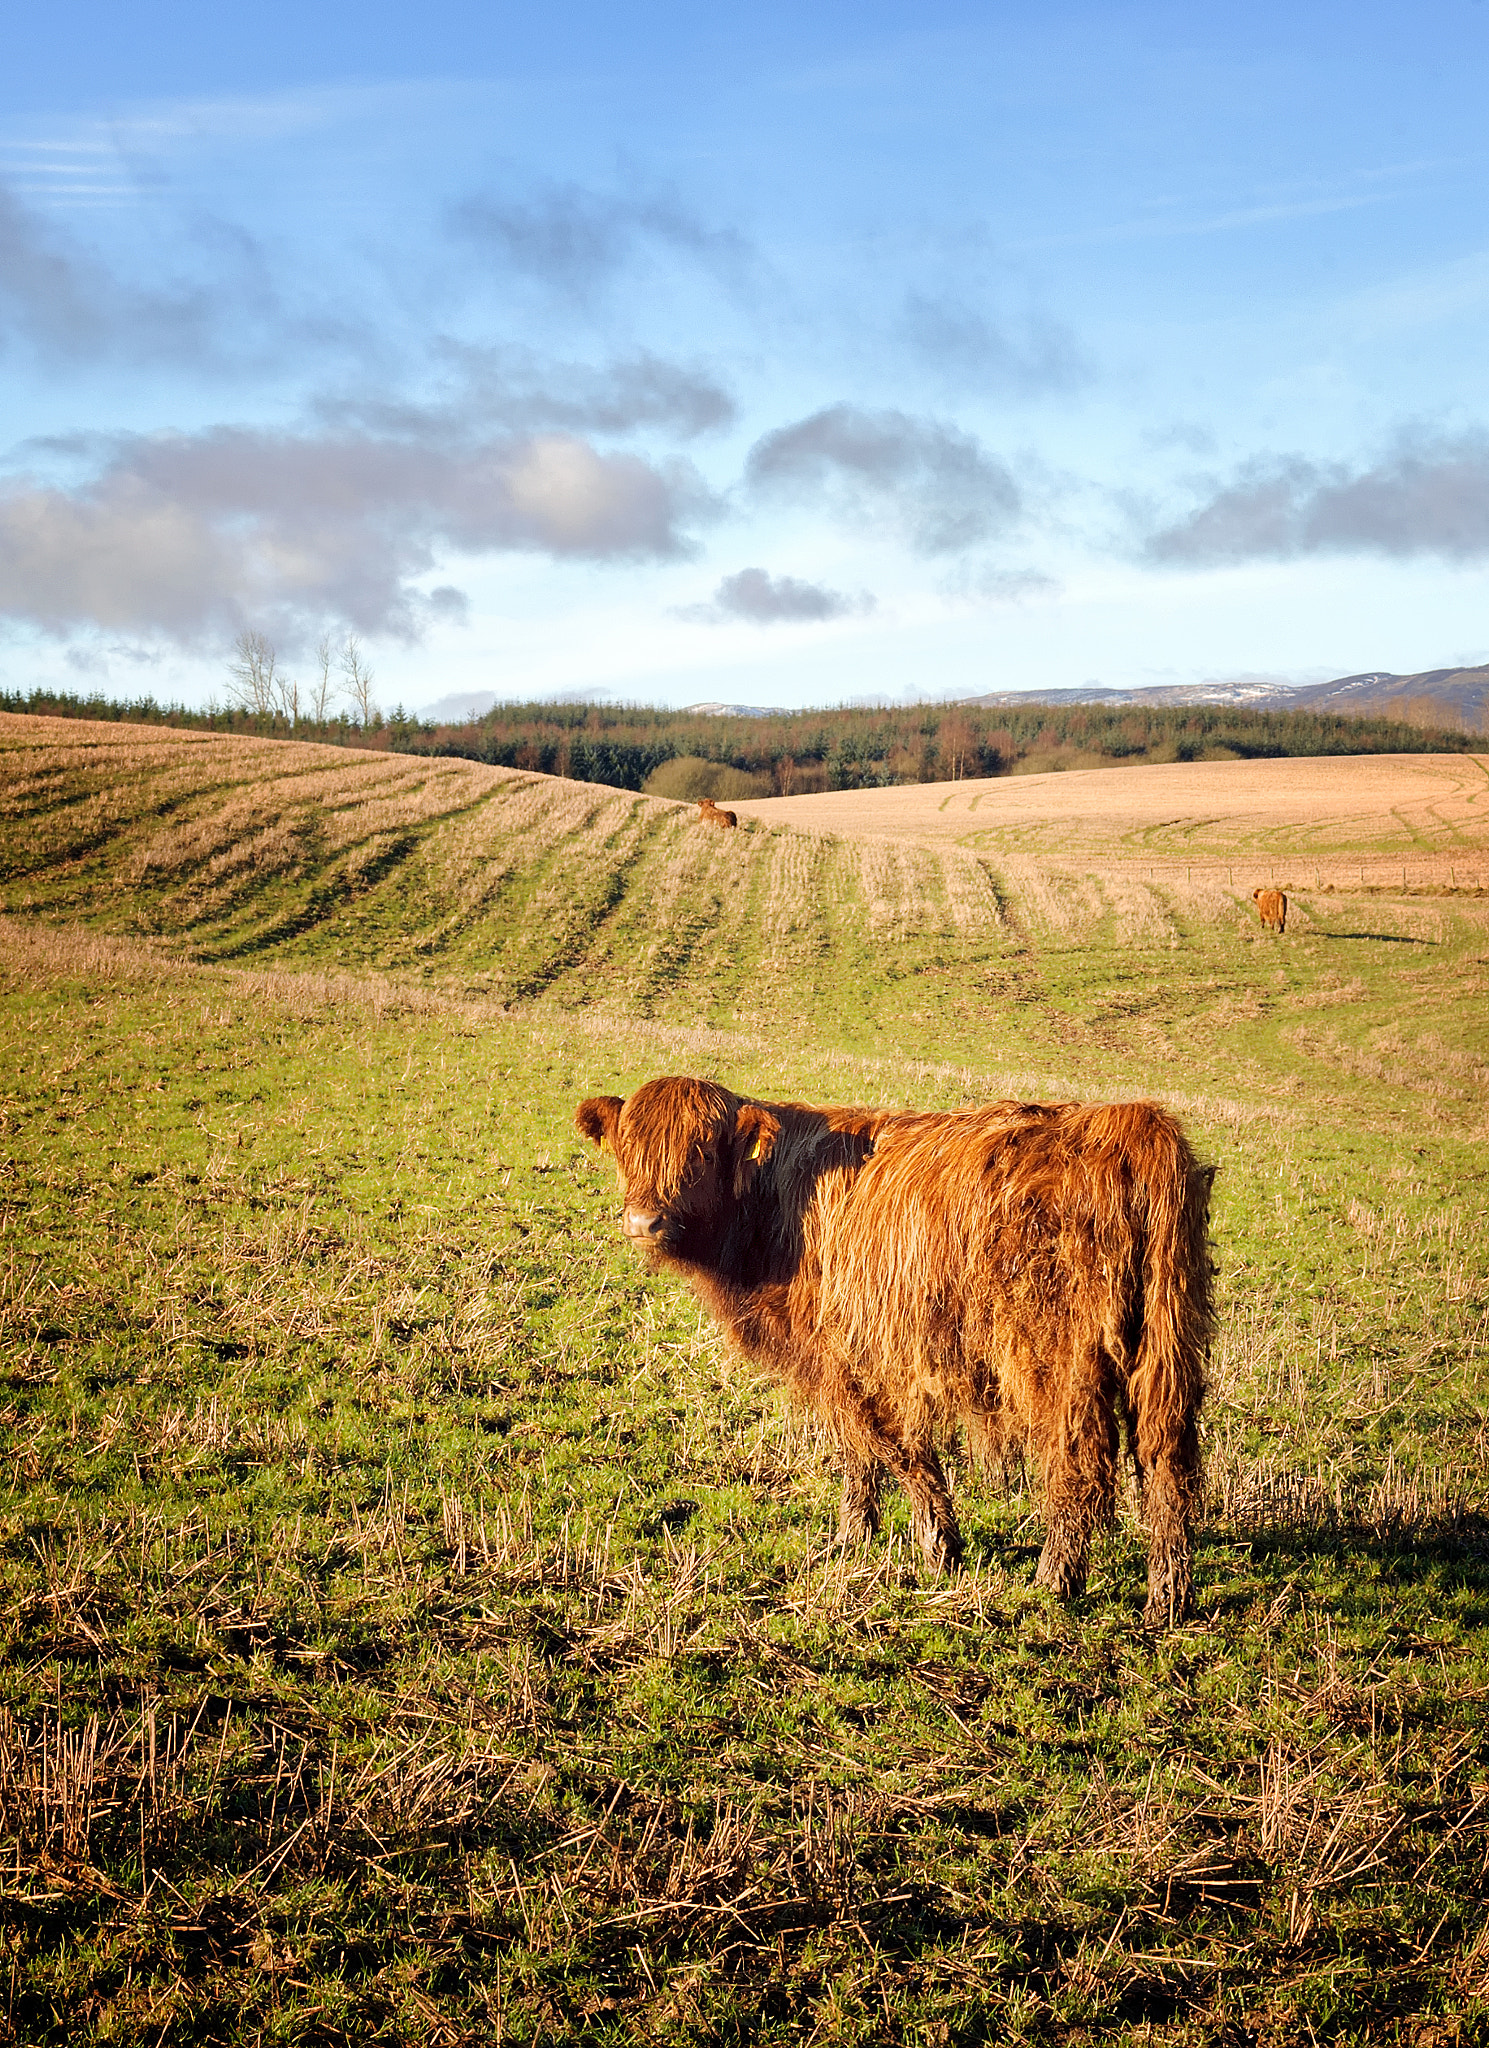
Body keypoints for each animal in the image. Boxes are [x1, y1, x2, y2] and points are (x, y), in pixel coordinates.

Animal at [577, 1081, 1220, 1622]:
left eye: (703, 1153)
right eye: (628, 1150)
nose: (644, 1221)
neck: (774, 1206)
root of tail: (1131, 1122)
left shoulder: (847, 1355)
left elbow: (889, 1446)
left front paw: (938, 1547)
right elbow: (863, 1452)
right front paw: (854, 1538)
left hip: (1060, 1359)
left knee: (1079, 1461)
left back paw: (1053, 1581)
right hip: (1165, 1343)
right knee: (1167, 1457)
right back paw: (1169, 1598)